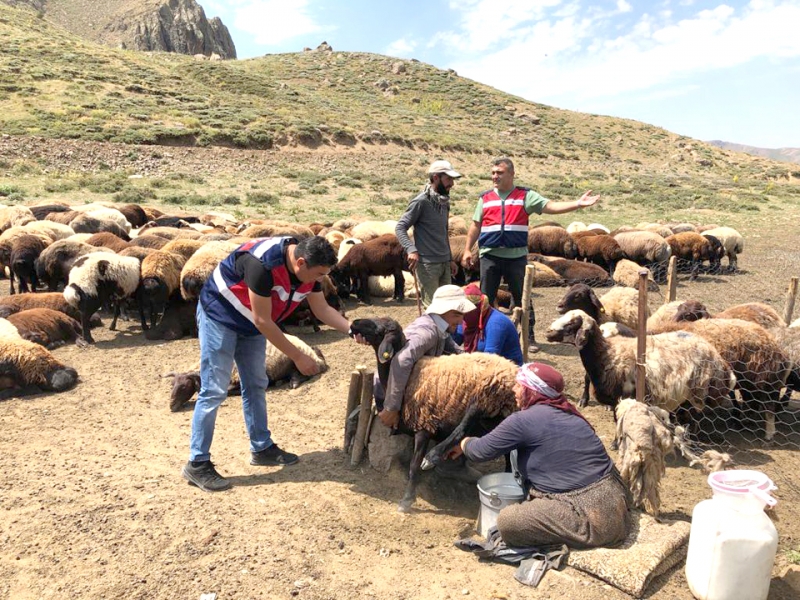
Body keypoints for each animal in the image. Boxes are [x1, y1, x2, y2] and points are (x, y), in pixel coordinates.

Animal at [350, 318, 520, 510]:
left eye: (379, 329)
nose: (353, 323)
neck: (407, 378)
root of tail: (514, 370)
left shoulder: (424, 425)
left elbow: (414, 466)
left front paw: (407, 499)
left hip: (486, 394)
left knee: (463, 427)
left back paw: (433, 456)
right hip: (498, 415)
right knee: (508, 451)